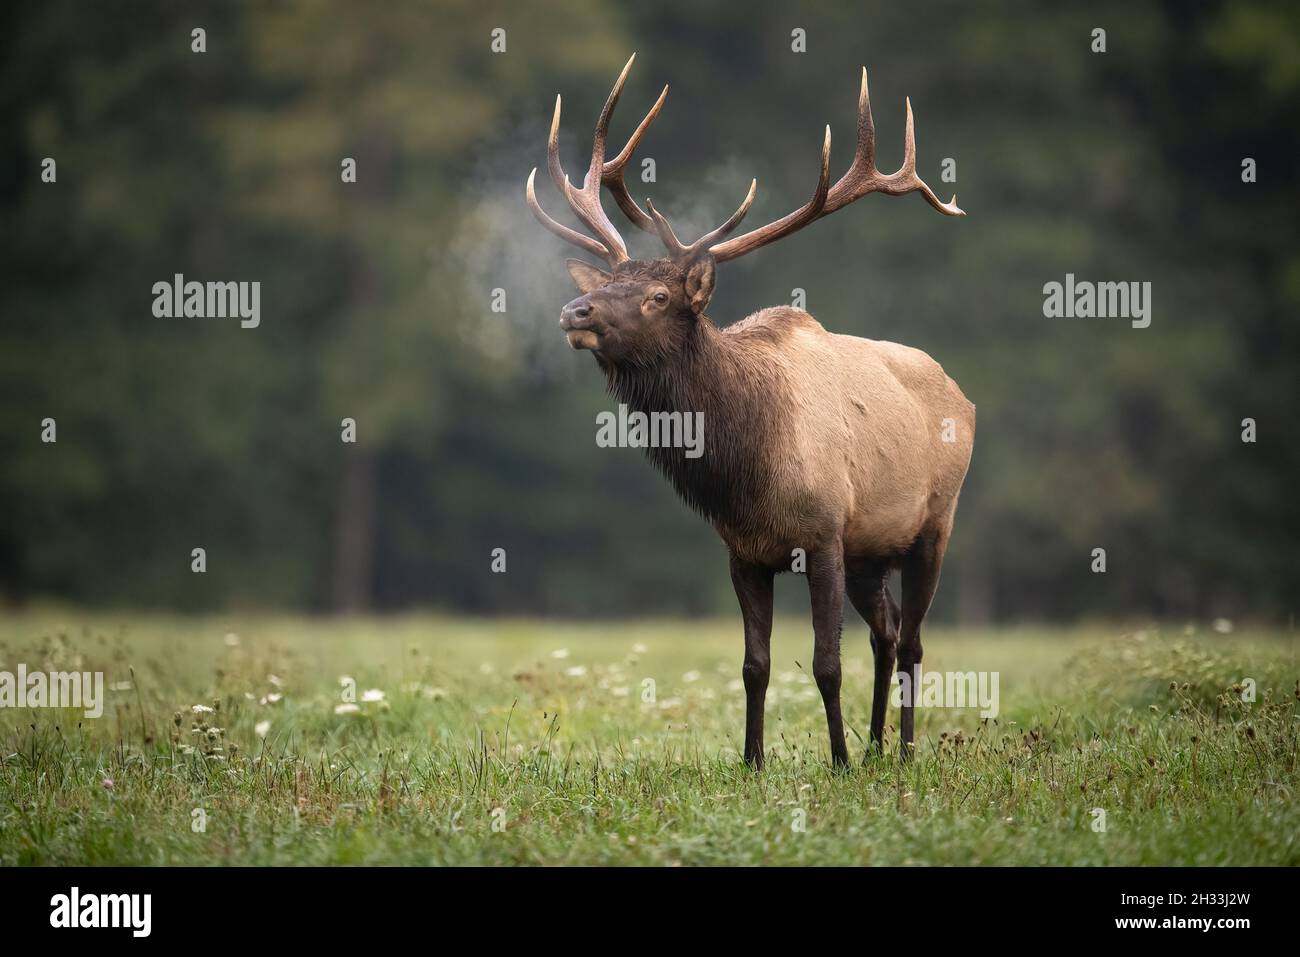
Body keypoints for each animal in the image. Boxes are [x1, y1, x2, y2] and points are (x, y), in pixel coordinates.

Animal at [525, 55, 974, 767]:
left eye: (658, 296)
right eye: (608, 283)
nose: (576, 311)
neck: (749, 473)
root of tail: (961, 391)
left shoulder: (824, 535)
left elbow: (824, 664)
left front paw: (837, 761)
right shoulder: (743, 552)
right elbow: (753, 666)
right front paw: (753, 760)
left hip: (934, 522)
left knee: (911, 641)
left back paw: (899, 751)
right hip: (872, 550)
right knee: (887, 631)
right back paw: (877, 747)